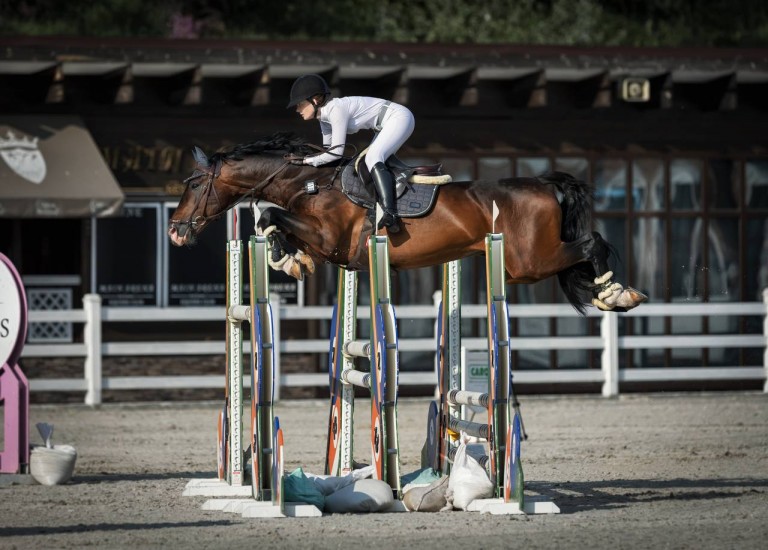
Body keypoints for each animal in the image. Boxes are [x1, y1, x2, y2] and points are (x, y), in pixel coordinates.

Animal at [170, 133, 648, 314]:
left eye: (192, 182)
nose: (175, 229)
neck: (311, 181)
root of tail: (545, 183)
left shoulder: (330, 238)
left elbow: (271, 214)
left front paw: (287, 259)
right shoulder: (330, 249)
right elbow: (277, 224)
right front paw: (290, 260)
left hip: (527, 262)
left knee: (592, 243)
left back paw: (617, 294)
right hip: (527, 262)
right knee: (587, 247)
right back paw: (613, 294)